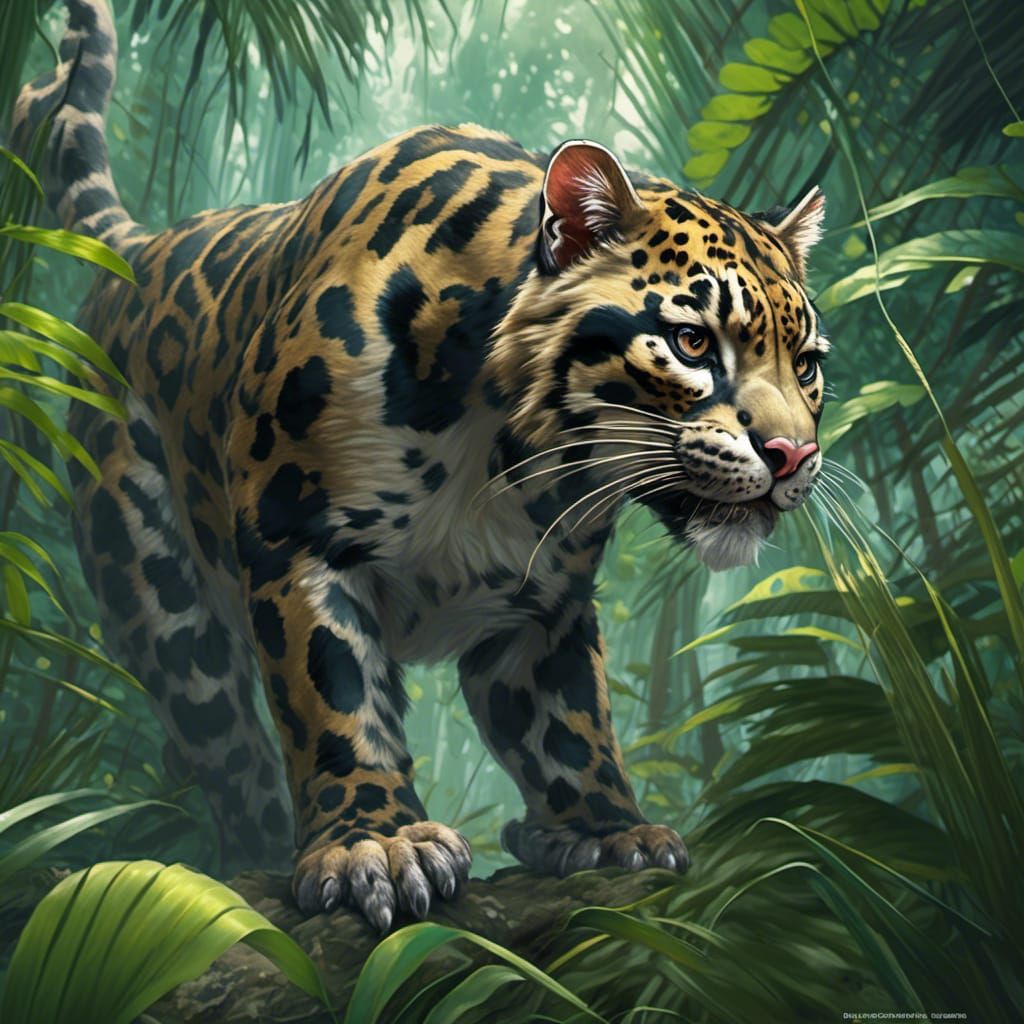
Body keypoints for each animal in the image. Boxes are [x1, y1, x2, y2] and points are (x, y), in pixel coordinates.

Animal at [12, 0, 829, 932]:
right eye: (693, 343)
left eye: (806, 364)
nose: (794, 454)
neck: (511, 458)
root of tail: (140, 248)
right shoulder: (300, 542)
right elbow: (332, 698)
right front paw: (374, 842)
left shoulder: (542, 606)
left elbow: (570, 723)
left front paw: (606, 829)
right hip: (165, 610)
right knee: (228, 748)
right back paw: (253, 854)